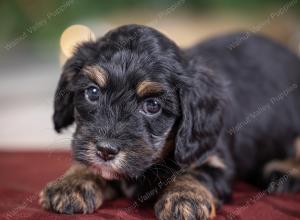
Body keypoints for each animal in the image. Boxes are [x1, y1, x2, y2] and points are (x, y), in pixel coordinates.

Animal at [39, 24, 300, 219]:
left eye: (153, 105)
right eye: (92, 92)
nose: (105, 150)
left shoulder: (213, 158)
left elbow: (195, 174)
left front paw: (184, 197)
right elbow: (90, 165)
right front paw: (72, 182)